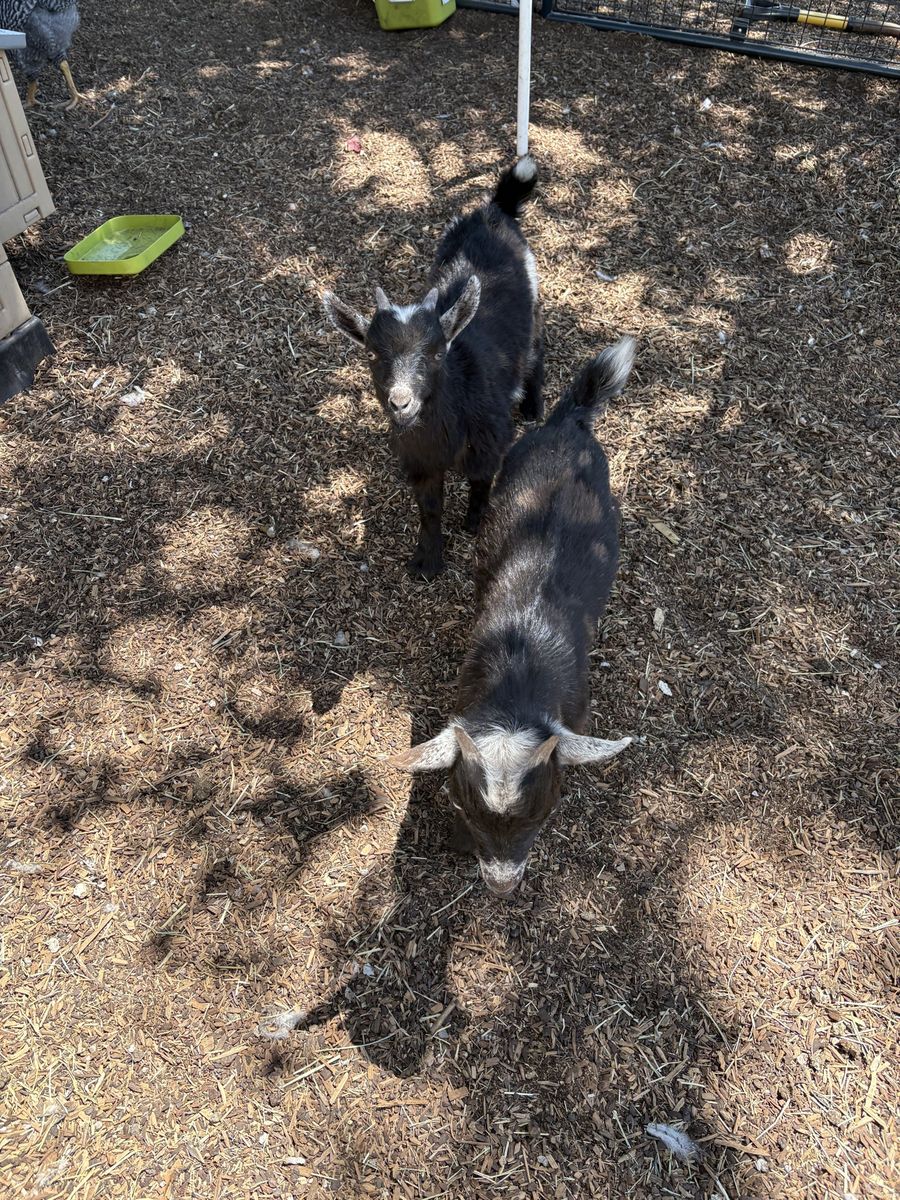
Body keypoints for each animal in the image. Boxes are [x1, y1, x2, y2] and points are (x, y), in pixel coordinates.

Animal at [323, 158, 543, 579]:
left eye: (439, 353)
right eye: (372, 354)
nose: (401, 403)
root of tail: (495, 210)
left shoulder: (489, 443)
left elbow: (481, 483)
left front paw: (473, 523)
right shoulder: (420, 461)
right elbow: (429, 508)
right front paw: (427, 561)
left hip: (531, 308)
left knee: (535, 351)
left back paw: (532, 405)